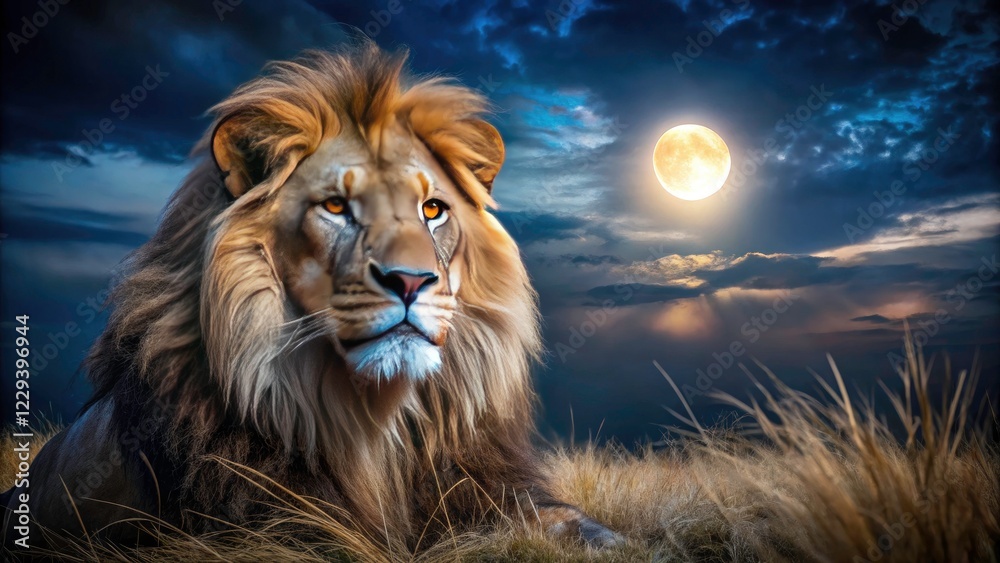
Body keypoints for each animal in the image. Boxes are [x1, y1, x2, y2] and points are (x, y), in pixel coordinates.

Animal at [2, 42, 621, 554]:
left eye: (433, 209)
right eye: (335, 207)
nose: (411, 281)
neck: (374, 420)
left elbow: (572, 525)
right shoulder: (268, 531)